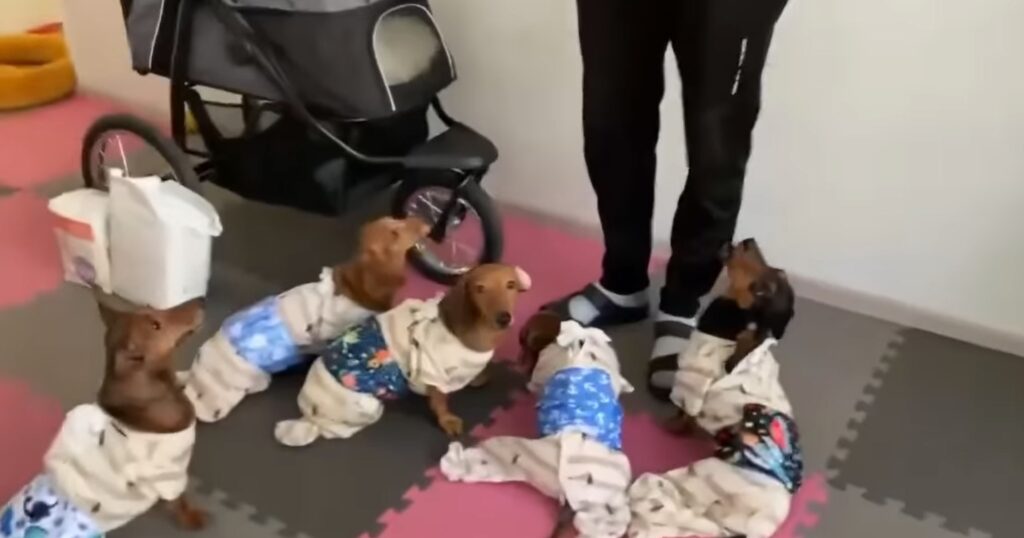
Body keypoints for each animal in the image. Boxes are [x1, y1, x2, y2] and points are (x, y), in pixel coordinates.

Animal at [1, 292, 206, 537]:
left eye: (151, 309)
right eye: (156, 325)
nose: (201, 300)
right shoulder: (169, 475)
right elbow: (180, 501)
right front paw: (193, 518)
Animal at [273, 263, 532, 447]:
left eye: (510, 284)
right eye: (479, 288)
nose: (503, 318)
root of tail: (308, 405)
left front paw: (478, 378)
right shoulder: (433, 373)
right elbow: (440, 401)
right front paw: (448, 420)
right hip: (366, 406)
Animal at [626, 238, 801, 538]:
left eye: (762, 290)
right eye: (778, 271)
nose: (748, 241)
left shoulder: (689, 387)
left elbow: (683, 414)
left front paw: (670, 426)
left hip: (698, 477)